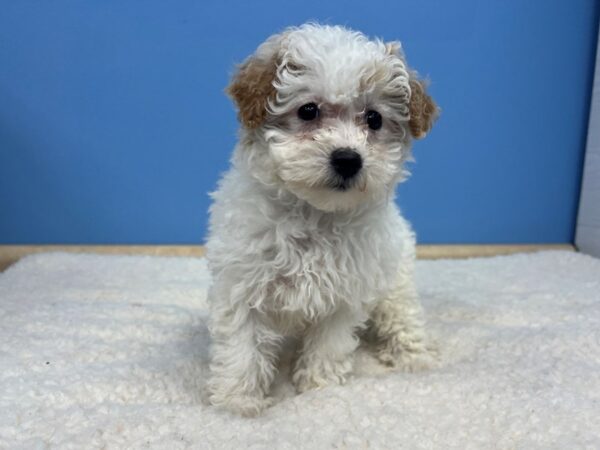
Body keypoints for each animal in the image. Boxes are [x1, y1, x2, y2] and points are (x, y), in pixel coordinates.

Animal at [205, 22, 436, 416]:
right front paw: (238, 403)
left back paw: (413, 359)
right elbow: (242, 348)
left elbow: (328, 345)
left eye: (374, 119)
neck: (314, 214)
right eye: (308, 110)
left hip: (396, 281)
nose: (347, 159)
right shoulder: (241, 284)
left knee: (403, 317)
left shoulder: (344, 296)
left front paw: (319, 391)